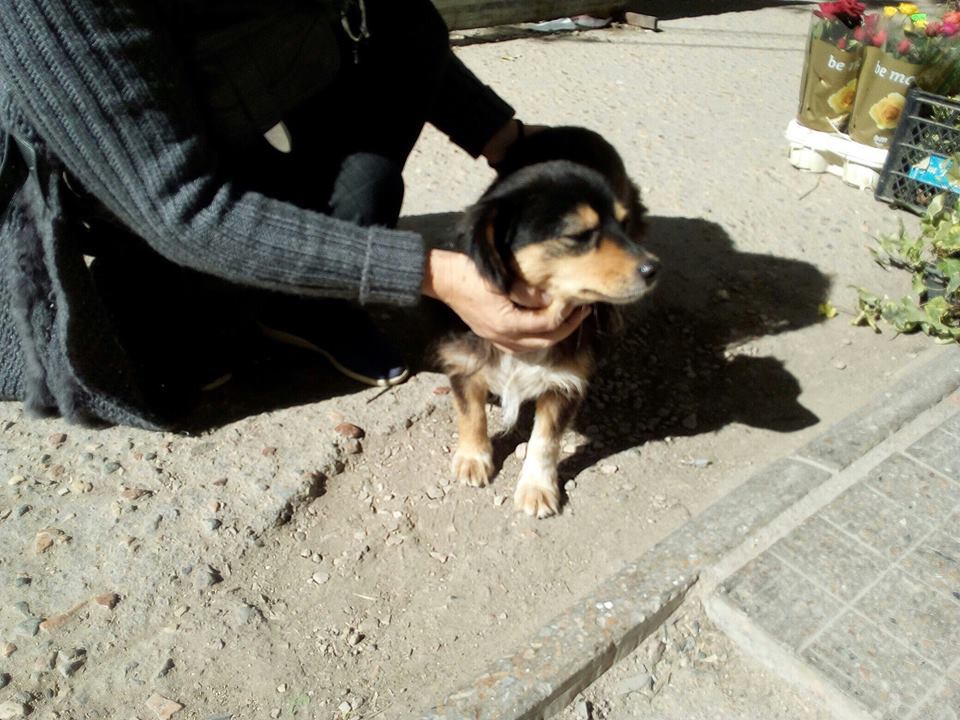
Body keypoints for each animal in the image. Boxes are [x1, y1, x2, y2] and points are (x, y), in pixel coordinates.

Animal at [436, 128, 656, 516]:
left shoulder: (565, 381)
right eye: (578, 235)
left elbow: (545, 439)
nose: (653, 269)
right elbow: (470, 411)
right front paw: (473, 457)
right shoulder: (462, 358)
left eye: (622, 225)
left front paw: (537, 488)